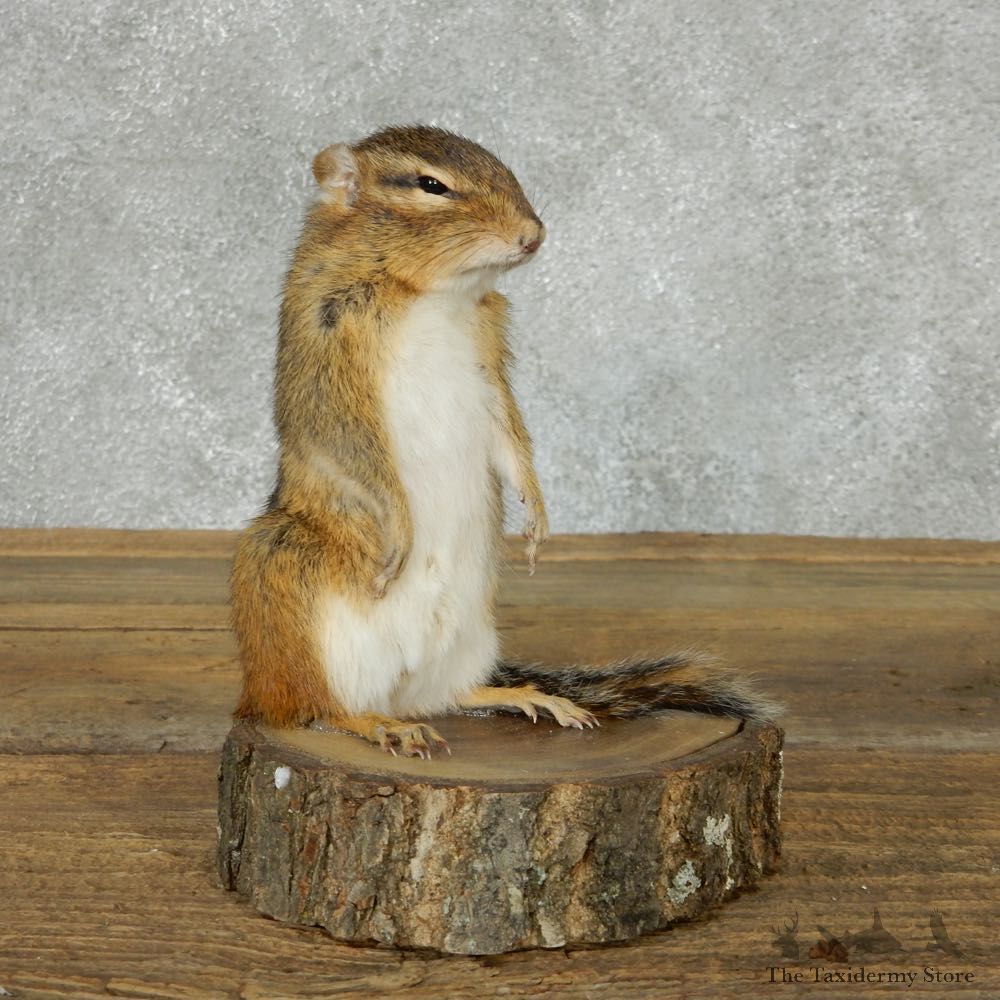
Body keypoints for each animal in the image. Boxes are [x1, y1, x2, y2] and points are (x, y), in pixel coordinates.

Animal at [230, 124, 778, 758]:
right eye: (431, 185)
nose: (533, 234)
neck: (430, 294)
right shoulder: (325, 364)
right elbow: (354, 454)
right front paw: (400, 530)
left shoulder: (488, 360)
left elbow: (510, 434)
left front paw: (537, 513)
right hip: (287, 590)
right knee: (315, 709)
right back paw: (379, 726)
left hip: (471, 632)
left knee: (445, 695)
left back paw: (524, 696)